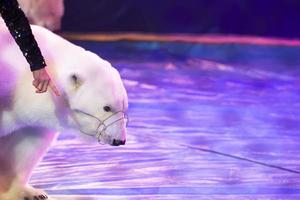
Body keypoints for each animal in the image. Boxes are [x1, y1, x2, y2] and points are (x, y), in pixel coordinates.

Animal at [0, 18, 127, 200]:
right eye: (107, 107)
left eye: (124, 106)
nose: (120, 140)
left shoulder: (33, 119)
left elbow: (26, 145)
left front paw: (26, 192)